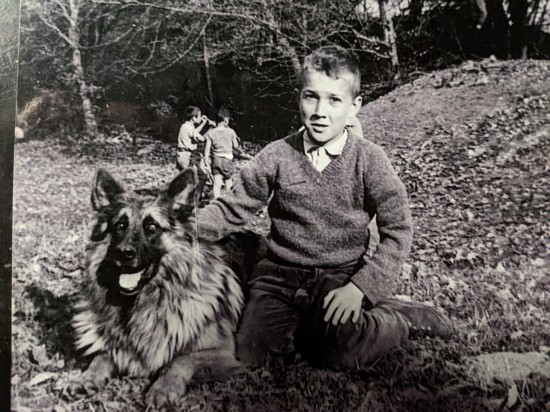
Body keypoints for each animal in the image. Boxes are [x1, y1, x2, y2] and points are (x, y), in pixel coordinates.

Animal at [66, 168, 264, 409]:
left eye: (152, 228)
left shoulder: (224, 353)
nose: (124, 253)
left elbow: (181, 359)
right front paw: (87, 376)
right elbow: (102, 355)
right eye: (119, 226)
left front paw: (163, 388)